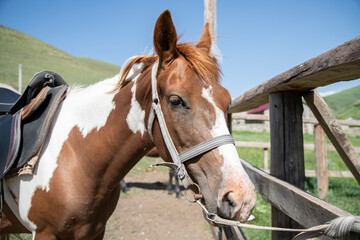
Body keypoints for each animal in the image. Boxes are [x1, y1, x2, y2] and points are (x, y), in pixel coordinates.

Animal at [1, 9, 258, 240]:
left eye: (226, 100)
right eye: (176, 100)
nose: (241, 198)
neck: (77, 156)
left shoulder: (94, 232)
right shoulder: (46, 233)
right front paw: (173, 191)